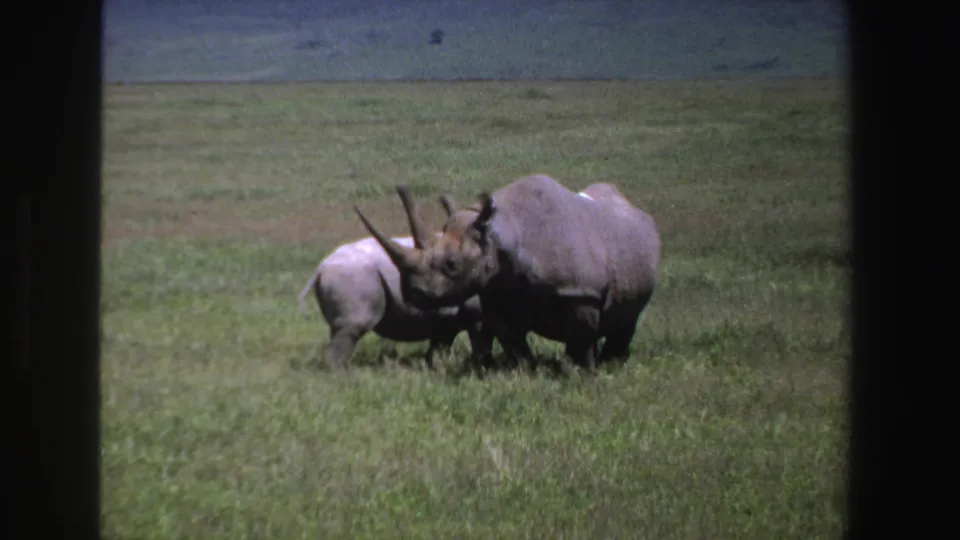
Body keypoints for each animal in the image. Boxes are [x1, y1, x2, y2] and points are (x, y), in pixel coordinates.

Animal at [298, 227, 491, 369]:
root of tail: (320, 269)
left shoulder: (447, 317)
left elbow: (441, 344)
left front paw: (434, 367)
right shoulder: (473, 314)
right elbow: (478, 340)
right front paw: (481, 366)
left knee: (339, 330)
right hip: (352, 276)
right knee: (352, 327)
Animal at [352, 174, 661, 372]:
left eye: (451, 265)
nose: (412, 293)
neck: (501, 232)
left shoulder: (581, 292)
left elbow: (582, 336)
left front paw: (583, 372)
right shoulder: (498, 290)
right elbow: (512, 339)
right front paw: (526, 371)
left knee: (628, 316)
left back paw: (612, 363)